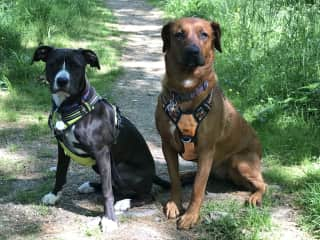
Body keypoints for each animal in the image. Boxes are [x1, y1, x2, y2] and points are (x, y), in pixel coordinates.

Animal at [31, 46, 170, 232]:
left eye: (76, 66)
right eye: (53, 63)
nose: (62, 80)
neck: (74, 108)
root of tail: (153, 175)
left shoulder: (102, 153)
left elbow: (107, 191)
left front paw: (109, 219)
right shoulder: (63, 149)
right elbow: (60, 173)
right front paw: (54, 196)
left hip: (120, 169)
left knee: (147, 195)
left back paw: (124, 203)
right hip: (98, 165)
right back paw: (90, 186)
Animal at [156, 17, 266, 229]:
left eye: (204, 34)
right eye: (179, 34)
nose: (192, 51)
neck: (186, 90)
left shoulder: (206, 150)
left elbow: (199, 188)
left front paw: (191, 215)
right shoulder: (167, 145)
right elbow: (174, 178)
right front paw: (175, 203)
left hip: (240, 162)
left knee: (263, 184)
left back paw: (255, 197)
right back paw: (186, 176)